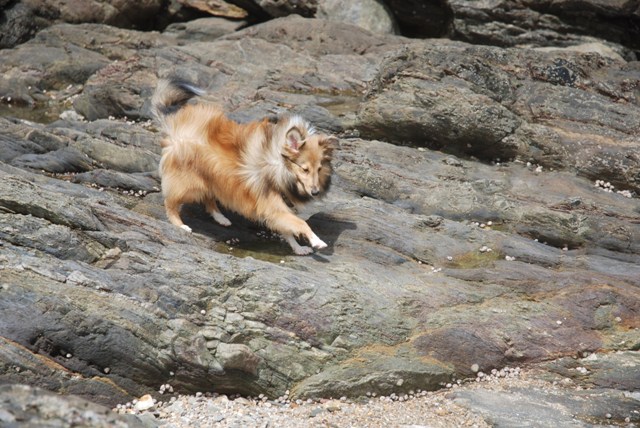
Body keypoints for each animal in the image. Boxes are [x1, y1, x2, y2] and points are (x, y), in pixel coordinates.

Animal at [150, 77, 336, 254]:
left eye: (319, 169)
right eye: (305, 169)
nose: (315, 192)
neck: (278, 166)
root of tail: (175, 123)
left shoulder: (276, 209)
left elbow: (288, 230)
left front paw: (299, 249)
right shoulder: (273, 206)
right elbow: (301, 223)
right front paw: (317, 241)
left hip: (210, 178)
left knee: (208, 198)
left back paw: (221, 218)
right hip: (189, 183)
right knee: (170, 202)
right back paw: (180, 224)